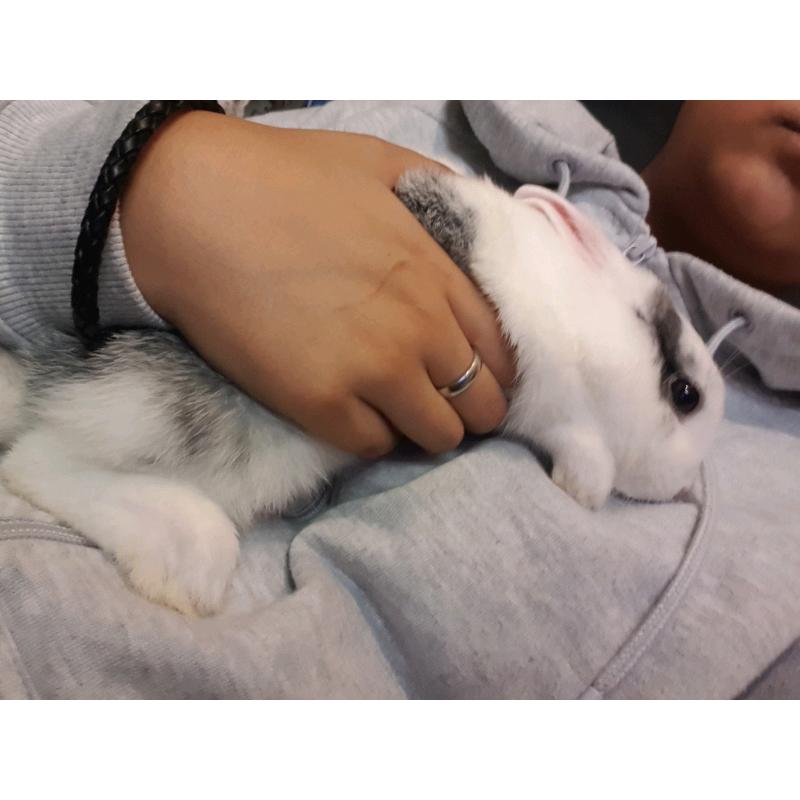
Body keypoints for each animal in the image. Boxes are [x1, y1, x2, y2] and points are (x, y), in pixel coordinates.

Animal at [0, 171, 725, 615]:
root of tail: (41, 380)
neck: (570, 300)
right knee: (36, 465)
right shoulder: (561, 397)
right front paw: (585, 489)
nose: (685, 478)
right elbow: (586, 450)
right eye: (684, 393)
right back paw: (190, 576)